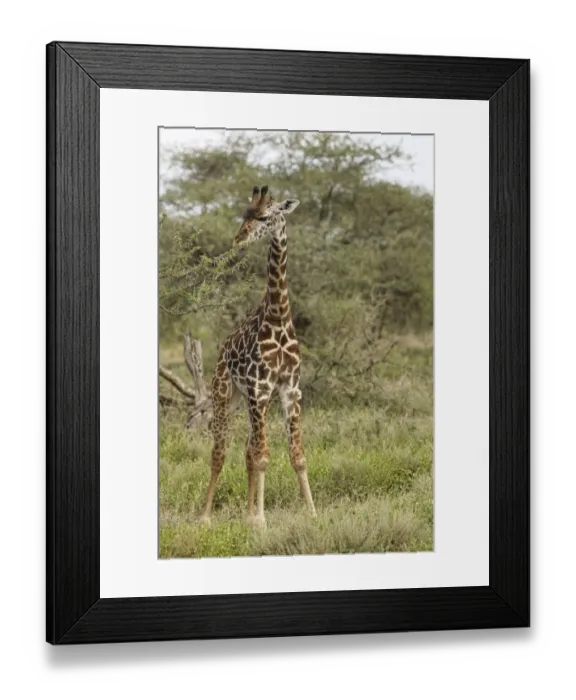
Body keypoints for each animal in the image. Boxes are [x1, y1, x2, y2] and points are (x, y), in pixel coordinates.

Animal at [199, 185, 316, 528]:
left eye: (264, 217)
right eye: (244, 215)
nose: (238, 239)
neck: (278, 317)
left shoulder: (290, 389)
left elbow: (297, 456)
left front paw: (312, 513)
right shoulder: (259, 388)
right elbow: (264, 457)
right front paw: (262, 521)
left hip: (246, 401)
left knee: (247, 450)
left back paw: (247, 513)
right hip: (226, 394)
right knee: (220, 452)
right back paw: (205, 517)